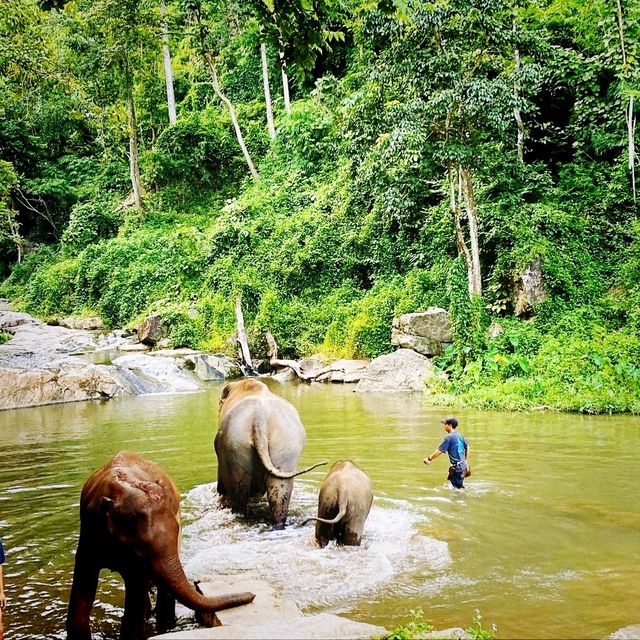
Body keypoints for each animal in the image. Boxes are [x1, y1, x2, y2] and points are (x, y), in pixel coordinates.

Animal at [216, 380, 328, 528]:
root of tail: (260, 418)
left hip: (234, 444)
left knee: (238, 494)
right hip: (285, 444)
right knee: (280, 491)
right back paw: (278, 523)